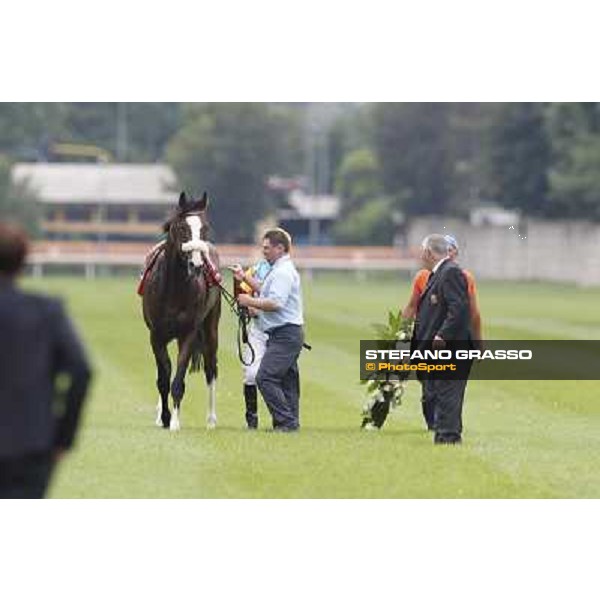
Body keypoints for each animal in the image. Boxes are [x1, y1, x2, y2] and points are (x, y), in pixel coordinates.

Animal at [142, 190, 221, 428]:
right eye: (181, 228)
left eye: (205, 228)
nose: (196, 265)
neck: (174, 289)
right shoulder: (156, 335)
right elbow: (163, 377)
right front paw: (165, 416)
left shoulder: (188, 332)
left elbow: (178, 378)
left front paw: (175, 422)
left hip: (211, 328)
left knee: (211, 368)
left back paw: (211, 420)